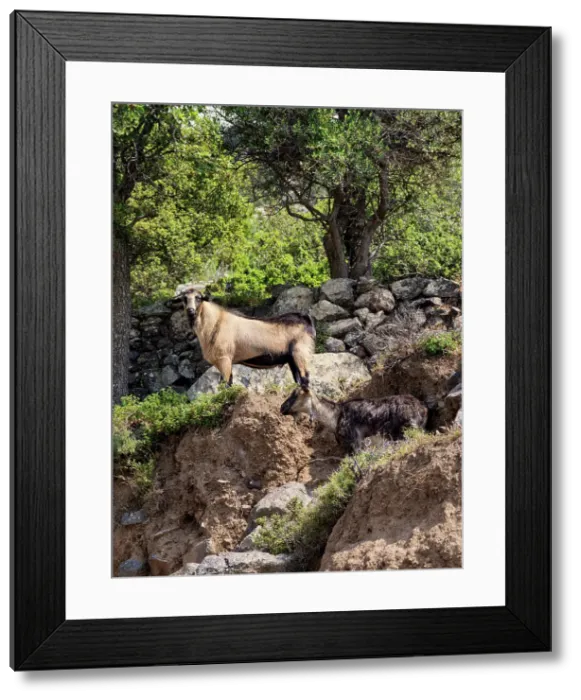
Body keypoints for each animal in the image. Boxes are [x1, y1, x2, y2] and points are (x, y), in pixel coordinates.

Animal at [177, 286, 316, 387]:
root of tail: (305, 319)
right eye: (184, 298)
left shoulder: (224, 358)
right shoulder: (226, 361)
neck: (215, 323)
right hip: (292, 358)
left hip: (301, 353)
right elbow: (229, 383)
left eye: (198, 298)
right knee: (299, 380)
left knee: (305, 379)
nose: (190, 310)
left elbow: (224, 384)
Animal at [280, 386, 428, 454]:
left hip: (402, 431)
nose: (282, 408)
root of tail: (422, 408)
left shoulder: (355, 439)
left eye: (296, 394)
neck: (335, 416)